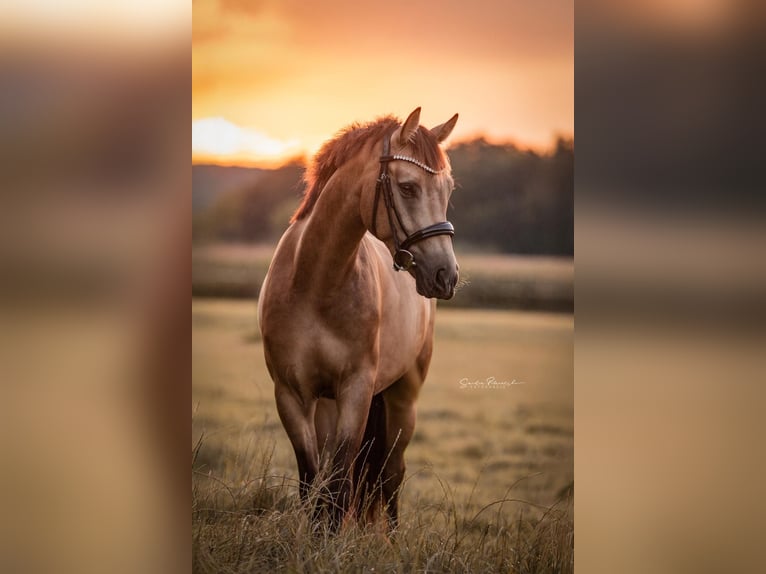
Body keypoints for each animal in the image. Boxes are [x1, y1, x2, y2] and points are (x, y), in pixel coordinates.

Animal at [258, 107, 459, 529]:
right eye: (408, 188)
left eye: (448, 189)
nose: (446, 275)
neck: (315, 281)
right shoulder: (291, 395)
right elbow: (312, 479)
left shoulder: (357, 389)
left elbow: (340, 482)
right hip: (326, 404)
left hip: (403, 398)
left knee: (391, 472)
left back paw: (390, 537)